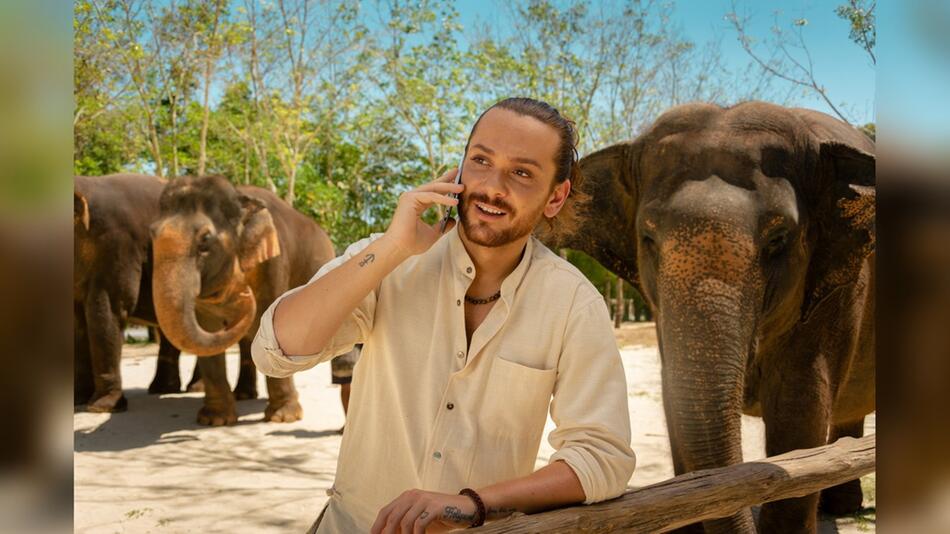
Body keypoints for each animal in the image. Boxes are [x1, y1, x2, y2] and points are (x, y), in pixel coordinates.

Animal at [76, 174, 205, 412]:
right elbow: (77, 323)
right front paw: (78, 400)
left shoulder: (117, 247)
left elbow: (108, 311)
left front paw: (101, 408)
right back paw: (164, 389)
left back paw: (192, 388)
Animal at [151, 176, 336, 428]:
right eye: (151, 234)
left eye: (205, 241)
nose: (244, 293)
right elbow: (208, 326)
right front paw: (215, 420)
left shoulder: (274, 262)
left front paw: (283, 418)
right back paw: (243, 395)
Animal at [552, 101, 876, 534]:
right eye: (648, 238)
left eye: (779, 239)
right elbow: (674, 402)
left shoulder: (838, 285)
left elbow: (800, 405)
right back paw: (839, 507)